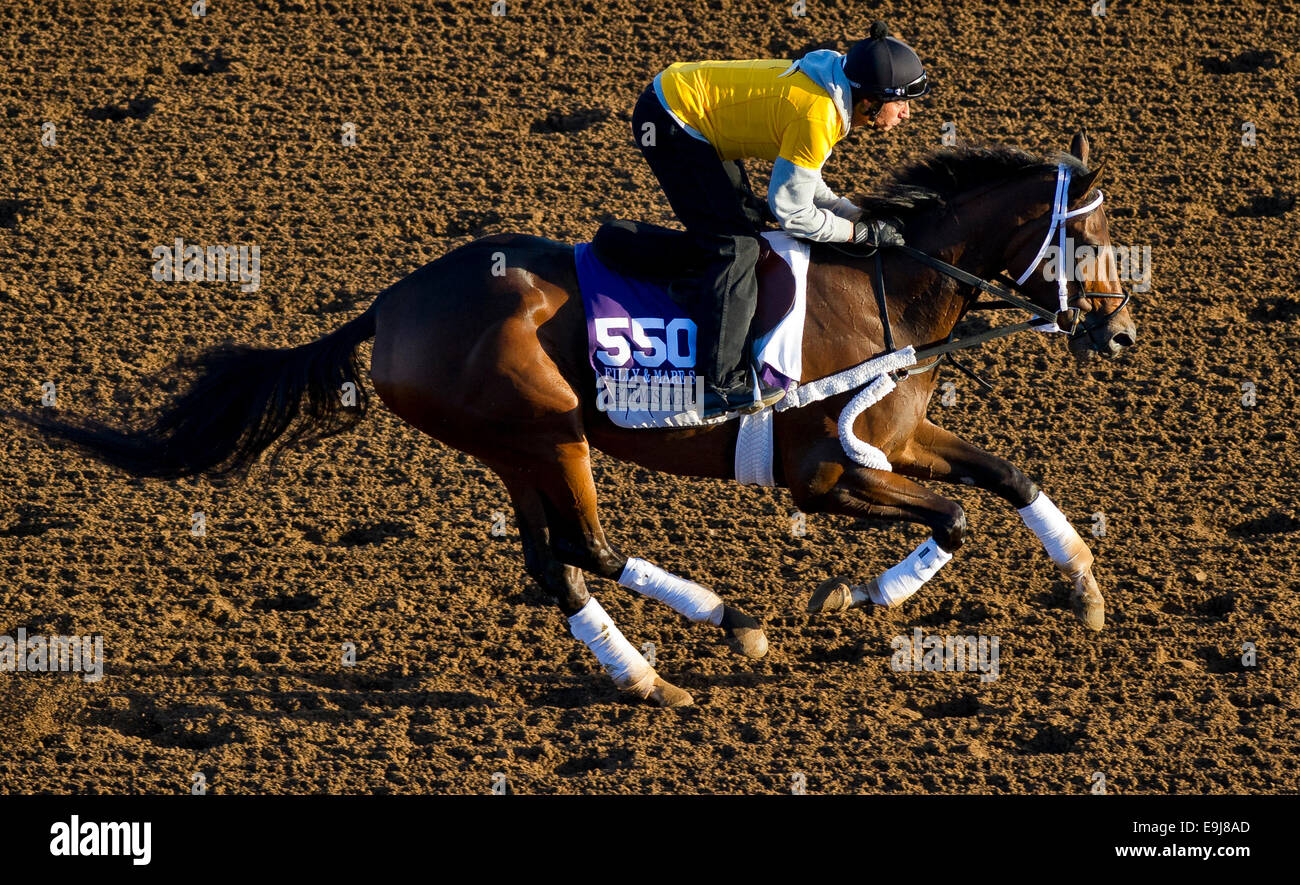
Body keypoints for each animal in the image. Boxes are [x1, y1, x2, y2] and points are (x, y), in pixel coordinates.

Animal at [5, 131, 1133, 706]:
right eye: (1086, 237)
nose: (1117, 335)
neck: (891, 289)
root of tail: (394, 303)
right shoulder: (823, 472)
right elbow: (953, 517)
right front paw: (853, 597)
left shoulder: (893, 439)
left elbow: (1007, 478)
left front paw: (1082, 587)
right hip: (547, 431)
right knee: (584, 546)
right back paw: (726, 631)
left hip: (512, 445)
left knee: (552, 561)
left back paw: (643, 672)